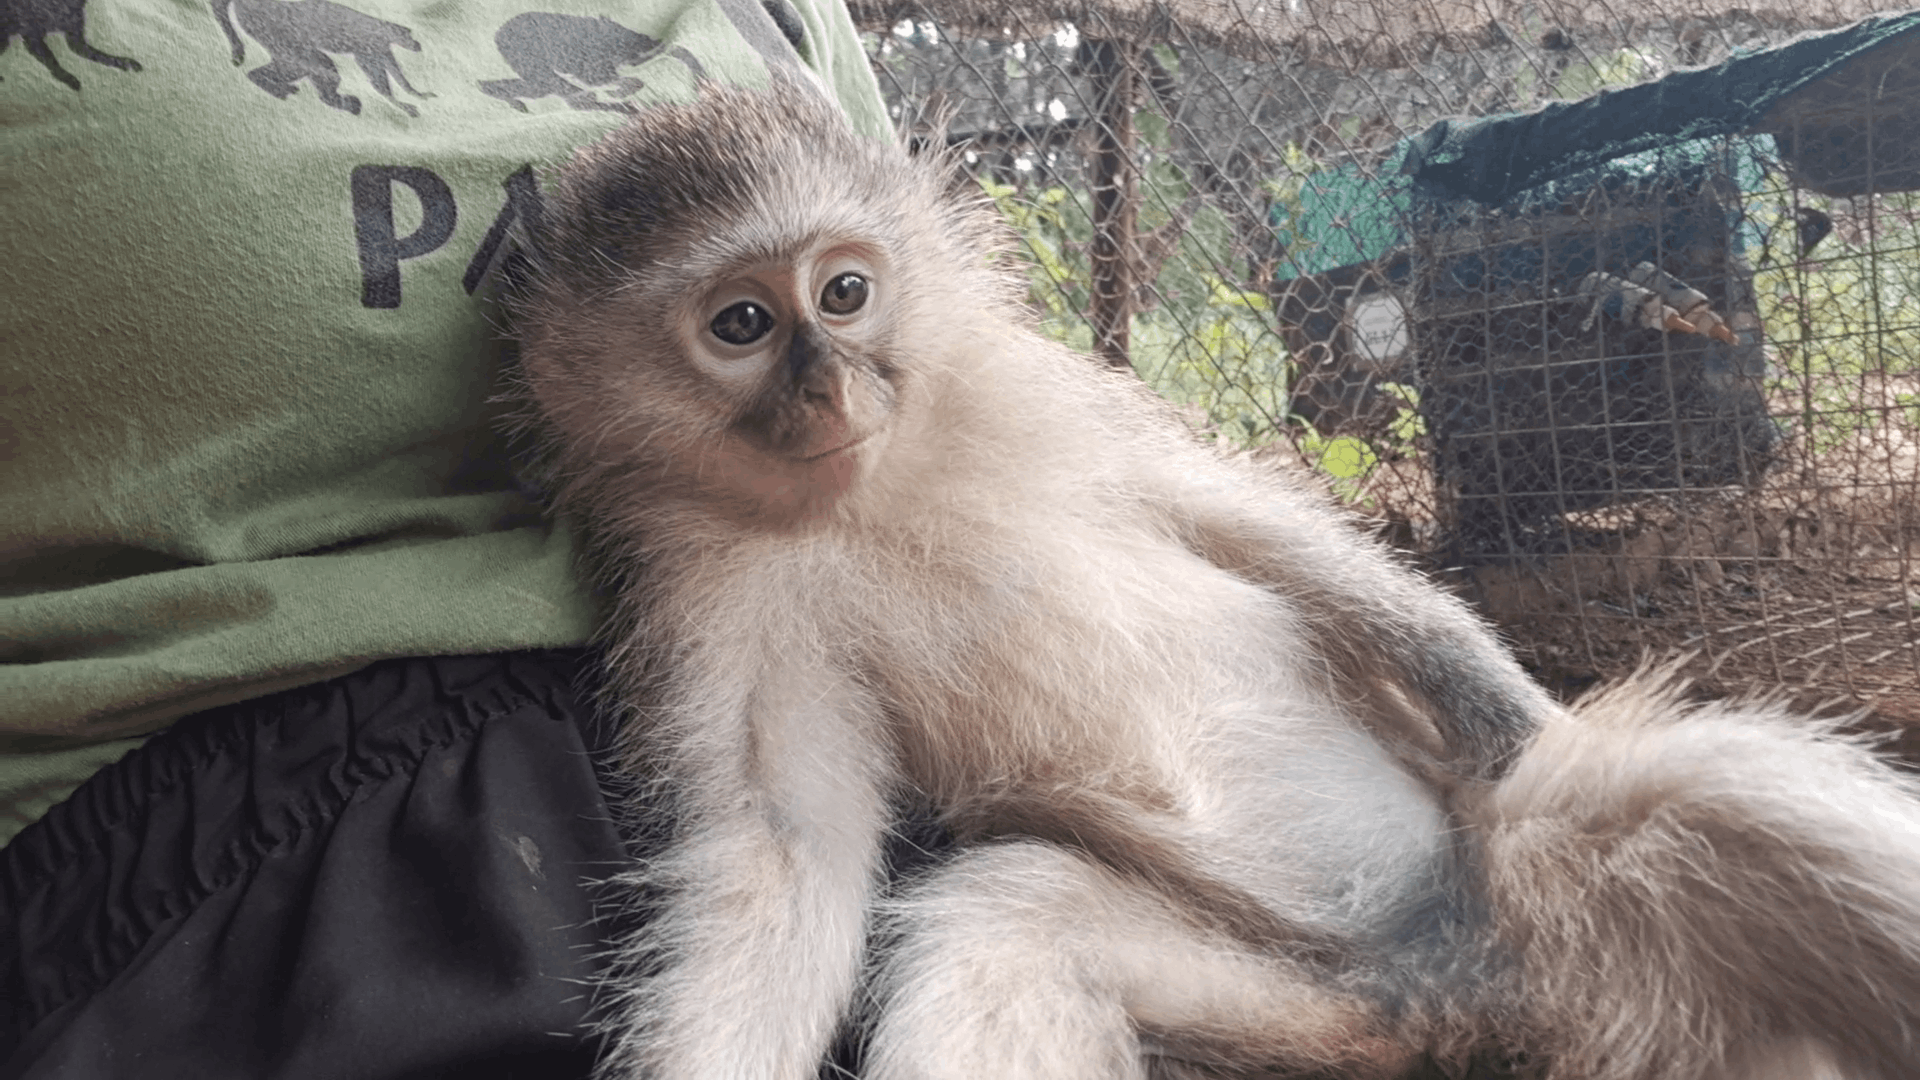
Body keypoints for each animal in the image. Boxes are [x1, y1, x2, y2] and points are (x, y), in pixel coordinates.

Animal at [506, 77, 1920, 1080]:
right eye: (743, 324)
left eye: (844, 292)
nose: (828, 389)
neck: (873, 496)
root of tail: (1467, 1000)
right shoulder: (716, 590)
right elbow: (786, 846)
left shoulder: (1043, 394)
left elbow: (1256, 531)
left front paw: (1501, 706)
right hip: (1314, 996)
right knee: (1002, 928)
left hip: (1524, 875)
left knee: (1709, 794)